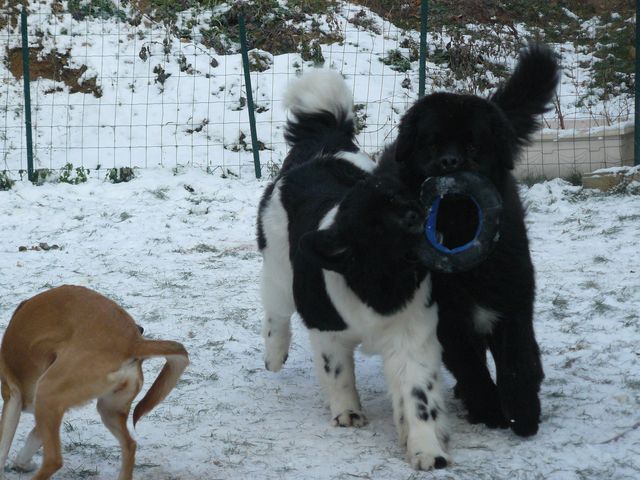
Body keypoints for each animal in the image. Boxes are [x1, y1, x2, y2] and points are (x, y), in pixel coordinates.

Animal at [0, 284, 189, 480]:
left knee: (54, 461)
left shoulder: (13, 396)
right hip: (108, 409)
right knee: (130, 445)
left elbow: (3, 447)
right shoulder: (51, 409)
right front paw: (22, 463)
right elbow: (32, 438)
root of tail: (133, 342)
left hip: (47, 391)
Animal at [255, 71, 450, 468]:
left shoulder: (412, 335)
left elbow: (418, 395)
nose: (419, 215)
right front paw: (347, 412)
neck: (382, 280)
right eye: (380, 223)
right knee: (276, 310)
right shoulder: (326, 328)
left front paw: (426, 450)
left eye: (404, 200)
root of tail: (322, 143)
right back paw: (274, 355)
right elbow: (337, 370)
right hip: (279, 269)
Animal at [378, 43, 564, 436]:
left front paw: (523, 413)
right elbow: (472, 368)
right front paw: (491, 410)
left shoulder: (511, 300)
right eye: (432, 145)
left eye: (474, 146)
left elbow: (517, 361)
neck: (460, 229)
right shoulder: (446, 318)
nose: (450, 162)